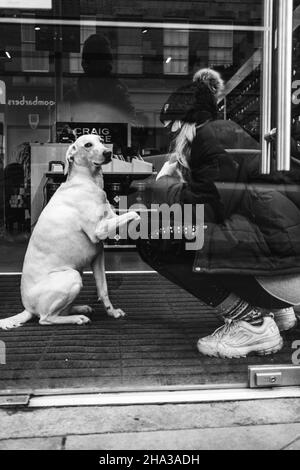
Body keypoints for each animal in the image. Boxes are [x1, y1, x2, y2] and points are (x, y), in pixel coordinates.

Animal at [0, 134, 140, 328]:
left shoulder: (98, 256)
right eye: (88, 145)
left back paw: (80, 309)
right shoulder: (99, 230)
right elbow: (134, 213)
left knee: (61, 311)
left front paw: (112, 312)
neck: (86, 181)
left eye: (101, 140)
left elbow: (103, 289)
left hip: (77, 275)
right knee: (46, 318)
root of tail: (28, 308)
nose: (108, 152)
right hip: (72, 276)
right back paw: (77, 318)